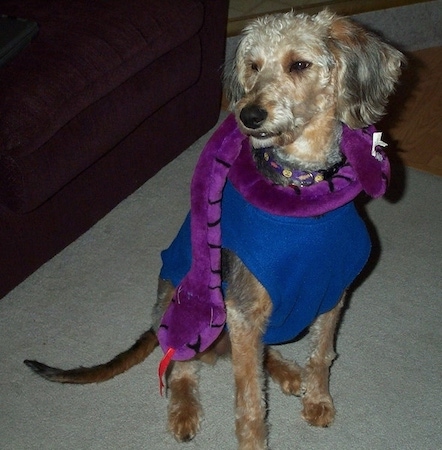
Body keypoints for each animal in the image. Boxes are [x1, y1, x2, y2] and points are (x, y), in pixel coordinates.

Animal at [24, 10, 404, 450]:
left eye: (299, 64)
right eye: (253, 66)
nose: (248, 115)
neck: (302, 193)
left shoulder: (332, 293)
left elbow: (322, 354)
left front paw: (318, 399)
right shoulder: (242, 311)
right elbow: (250, 398)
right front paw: (254, 442)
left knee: (256, 353)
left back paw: (289, 373)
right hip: (192, 305)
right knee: (180, 368)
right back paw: (184, 411)